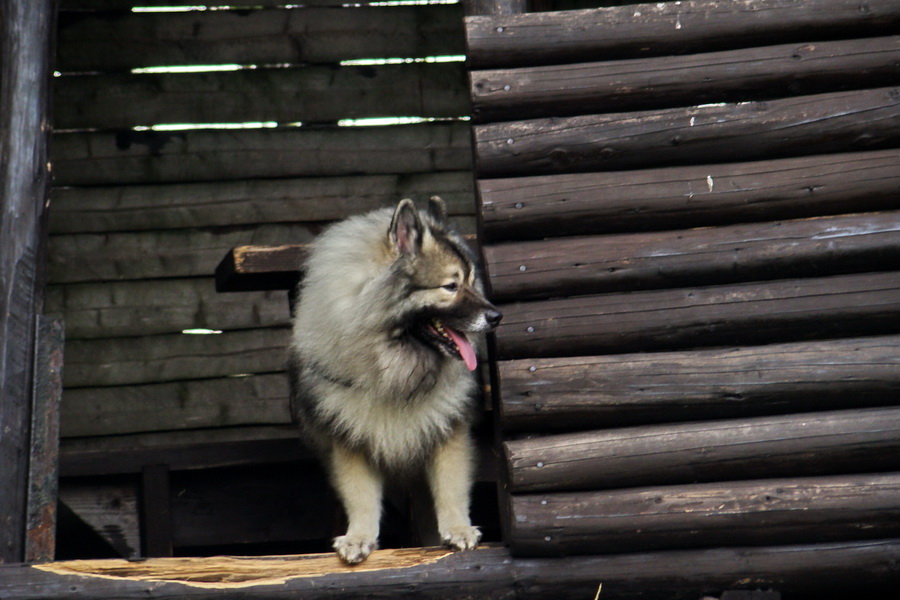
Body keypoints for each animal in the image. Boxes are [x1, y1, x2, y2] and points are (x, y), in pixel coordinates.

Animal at [288, 197, 500, 564]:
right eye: (451, 286)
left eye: (474, 282)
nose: (496, 316)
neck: (396, 368)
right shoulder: (349, 440)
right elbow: (360, 496)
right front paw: (359, 537)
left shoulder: (448, 433)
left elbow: (451, 486)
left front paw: (458, 529)